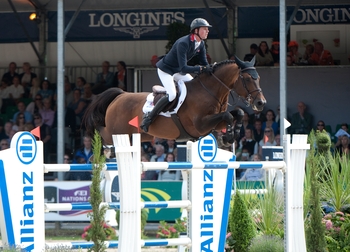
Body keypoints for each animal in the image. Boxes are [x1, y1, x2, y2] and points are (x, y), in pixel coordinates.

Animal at [82, 56, 266, 145]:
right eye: (247, 79)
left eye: (258, 78)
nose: (261, 103)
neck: (211, 91)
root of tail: (120, 95)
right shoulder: (200, 125)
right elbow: (228, 116)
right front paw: (228, 136)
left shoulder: (214, 122)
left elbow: (237, 112)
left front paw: (233, 134)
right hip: (117, 132)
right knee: (103, 133)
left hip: (141, 136)